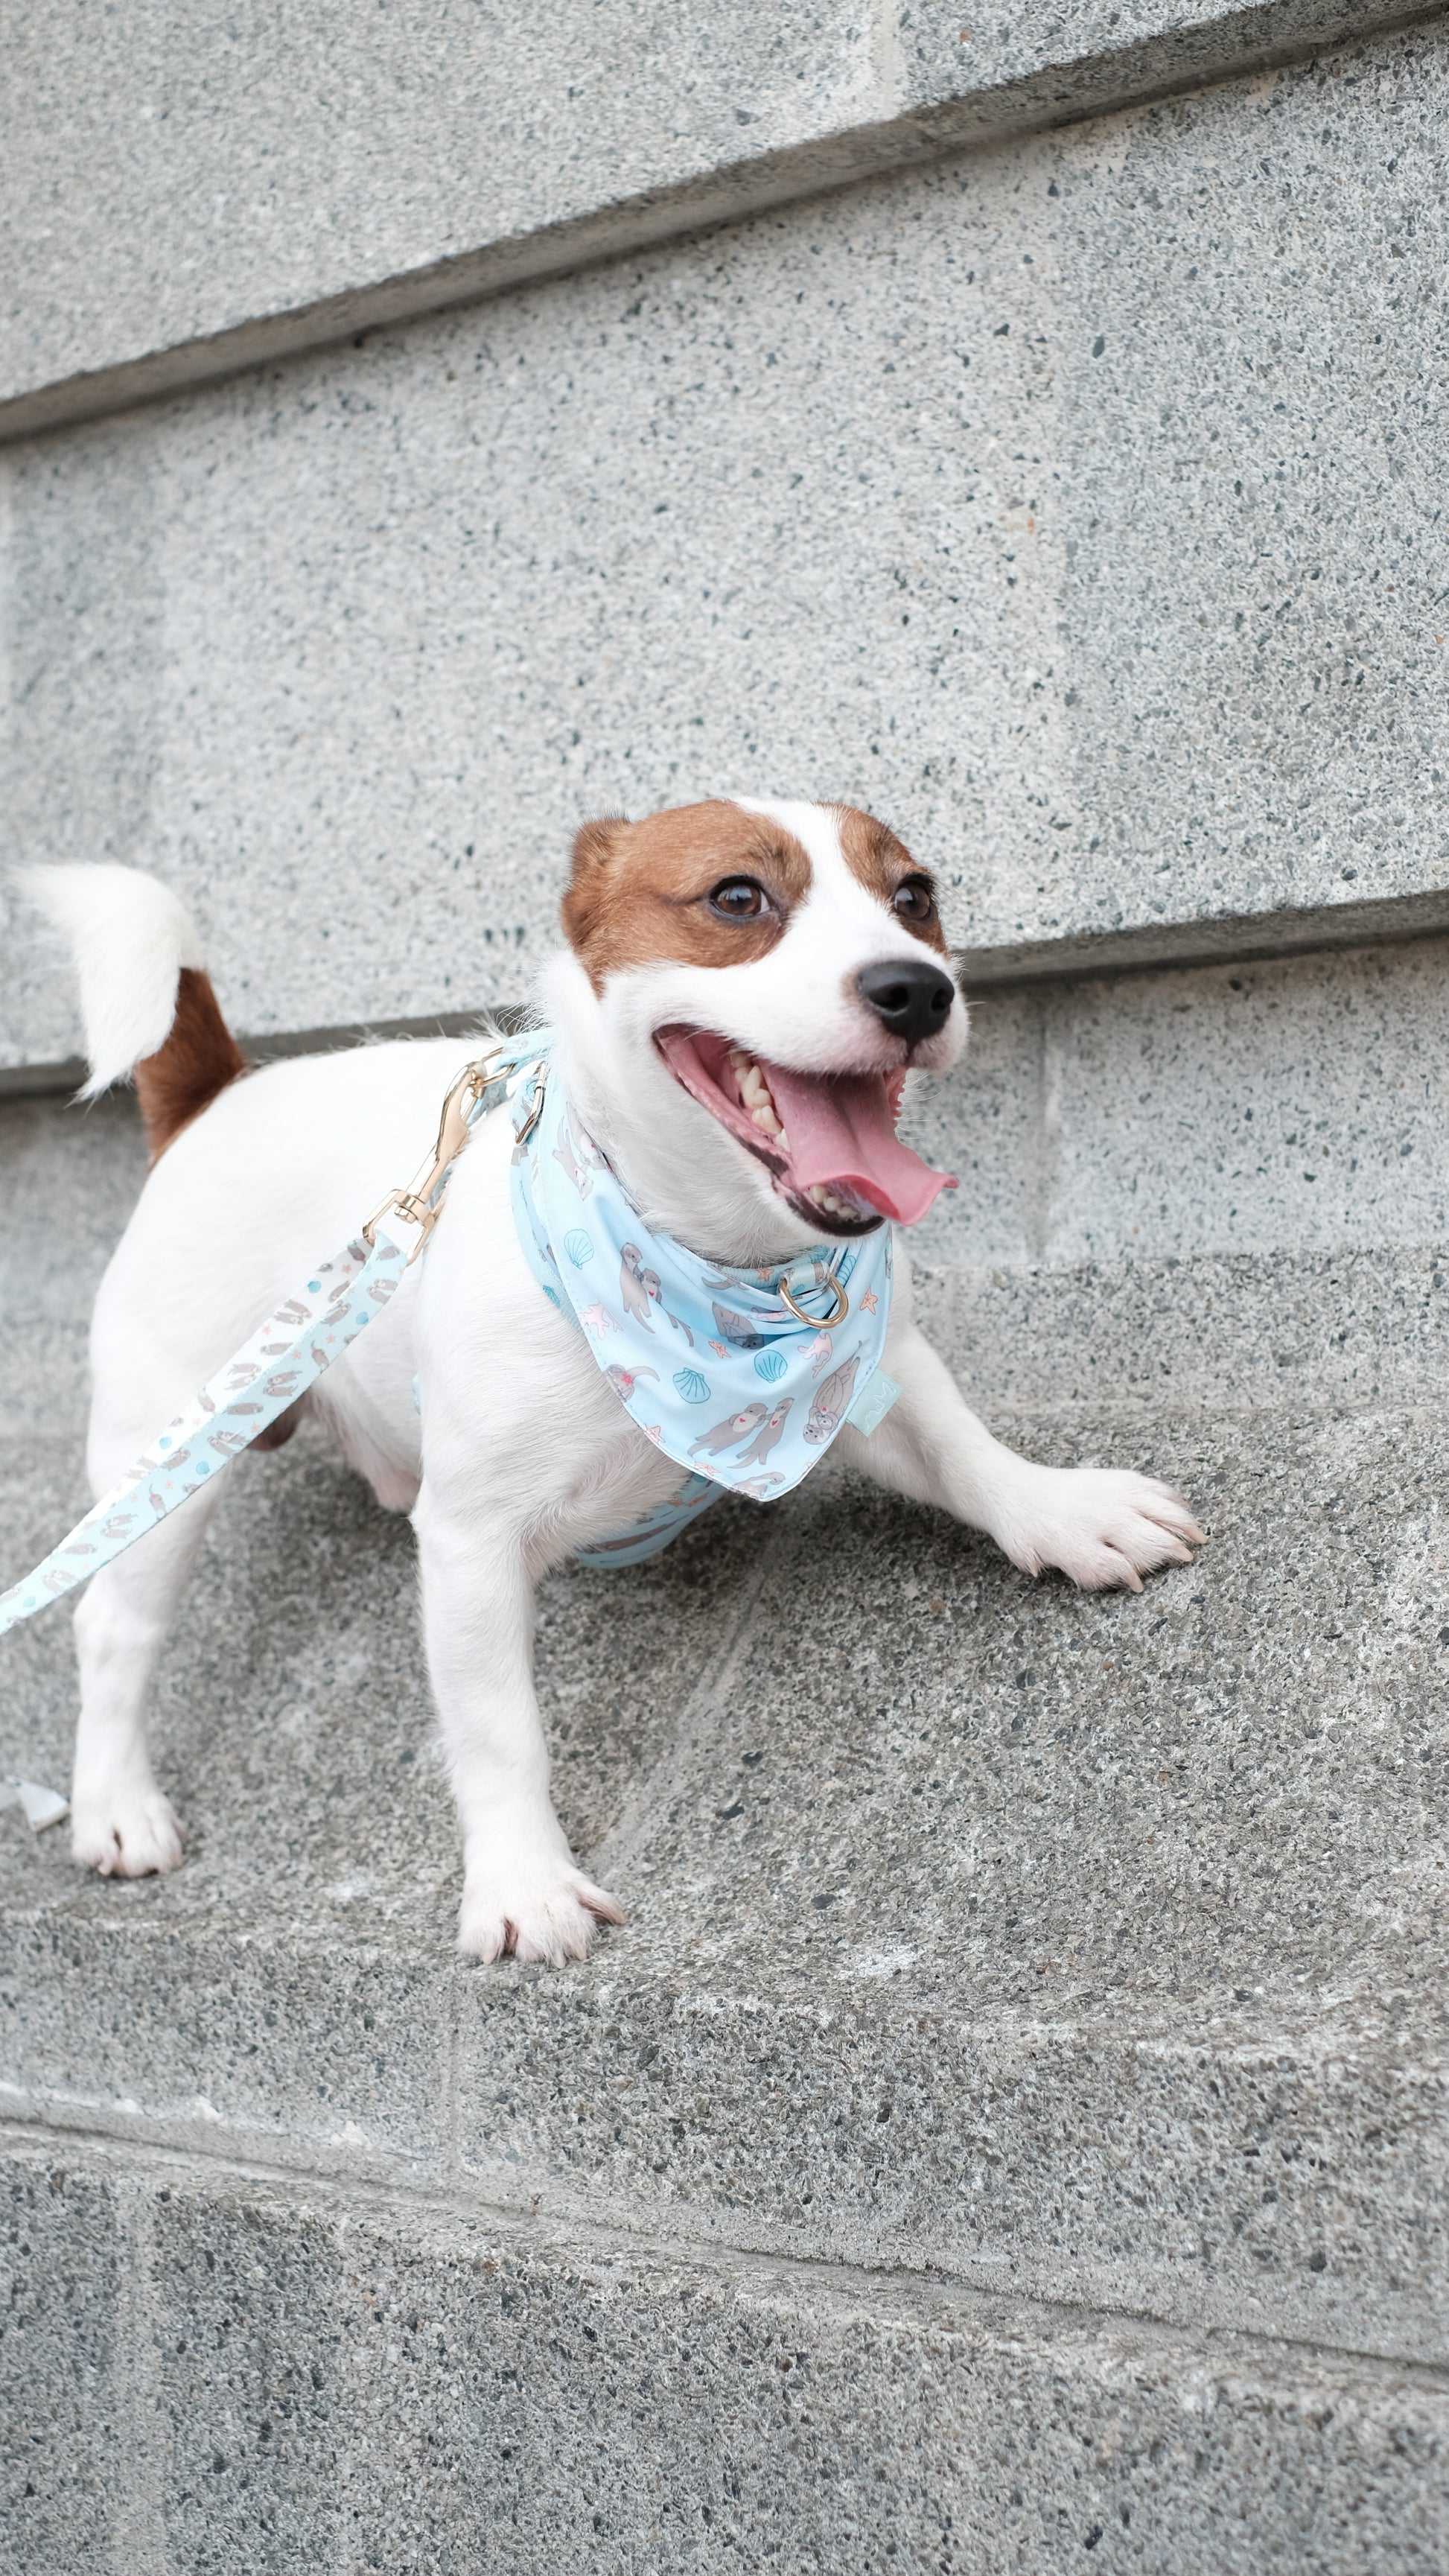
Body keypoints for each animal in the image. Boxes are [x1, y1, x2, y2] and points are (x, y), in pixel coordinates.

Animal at [22, 793, 1209, 1957]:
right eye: (736, 896)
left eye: (914, 897)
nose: (917, 987)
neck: (717, 1271)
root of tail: (218, 1097)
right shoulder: (471, 1541)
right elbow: (499, 1729)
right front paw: (522, 1878)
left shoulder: (872, 1373)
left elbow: (965, 1450)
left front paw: (1060, 1510)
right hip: (167, 1459)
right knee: (111, 1629)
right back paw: (115, 1802)